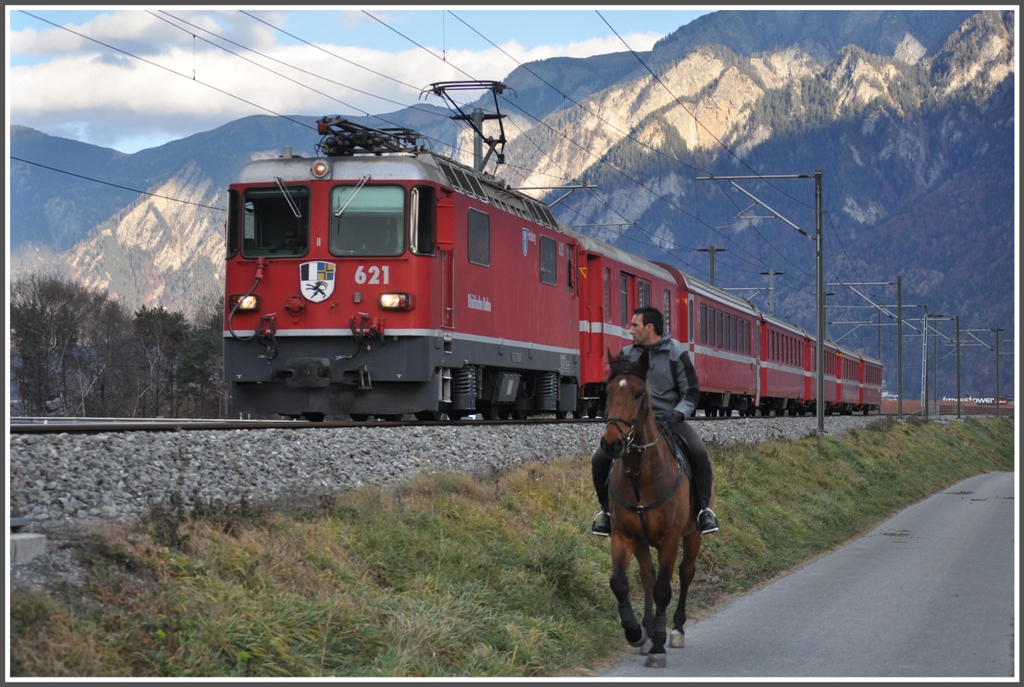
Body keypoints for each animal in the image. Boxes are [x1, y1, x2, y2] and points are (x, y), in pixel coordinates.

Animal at [600, 347, 706, 668]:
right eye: (608, 391)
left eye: (638, 394)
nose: (611, 444)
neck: (640, 473)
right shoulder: (624, 535)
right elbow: (621, 583)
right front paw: (636, 632)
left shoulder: (670, 538)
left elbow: (664, 588)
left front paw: (658, 644)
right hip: (642, 541)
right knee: (647, 576)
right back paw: (646, 630)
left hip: (693, 535)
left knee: (685, 573)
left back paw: (676, 630)